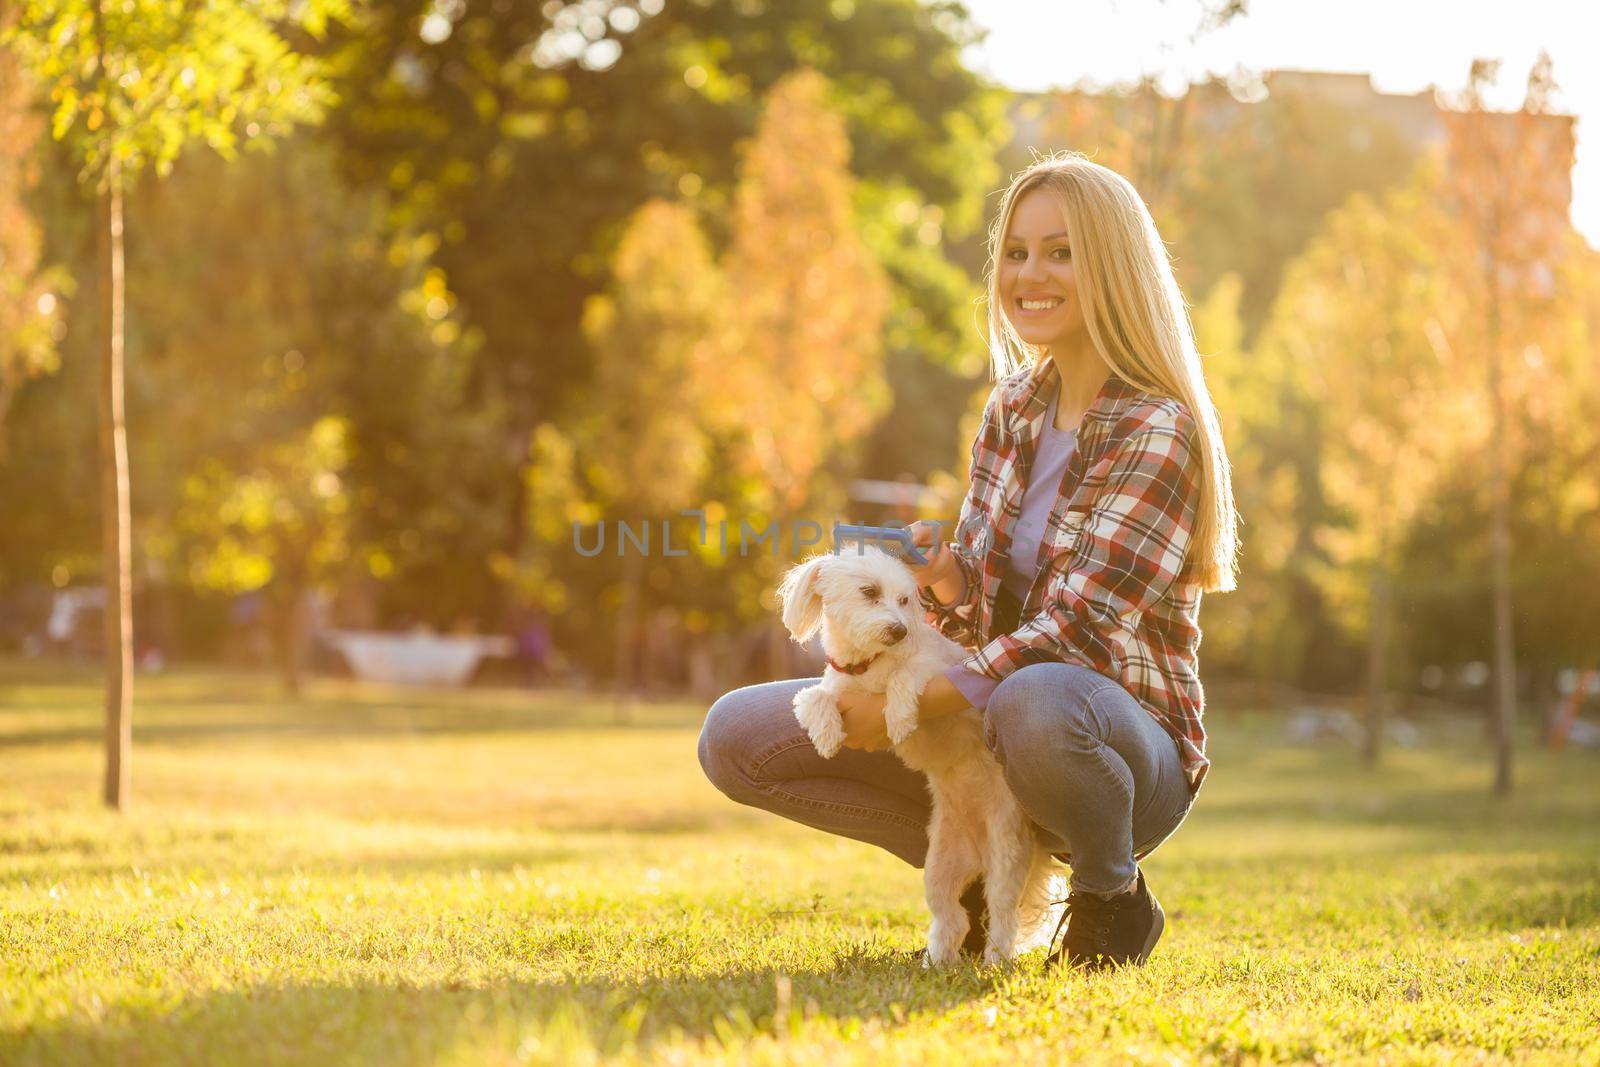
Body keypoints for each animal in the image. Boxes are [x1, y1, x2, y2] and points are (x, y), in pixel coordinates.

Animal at [774, 547, 1062, 966]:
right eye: (869, 591)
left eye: (905, 600)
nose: (900, 631)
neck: (870, 664)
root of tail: (977, 853)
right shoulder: (837, 687)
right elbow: (815, 697)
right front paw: (826, 735)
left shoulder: (942, 677)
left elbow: (907, 676)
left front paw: (898, 717)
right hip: (939, 867)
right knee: (952, 918)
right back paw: (936, 962)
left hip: (1005, 858)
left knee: (1002, 915)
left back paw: (995, 961)